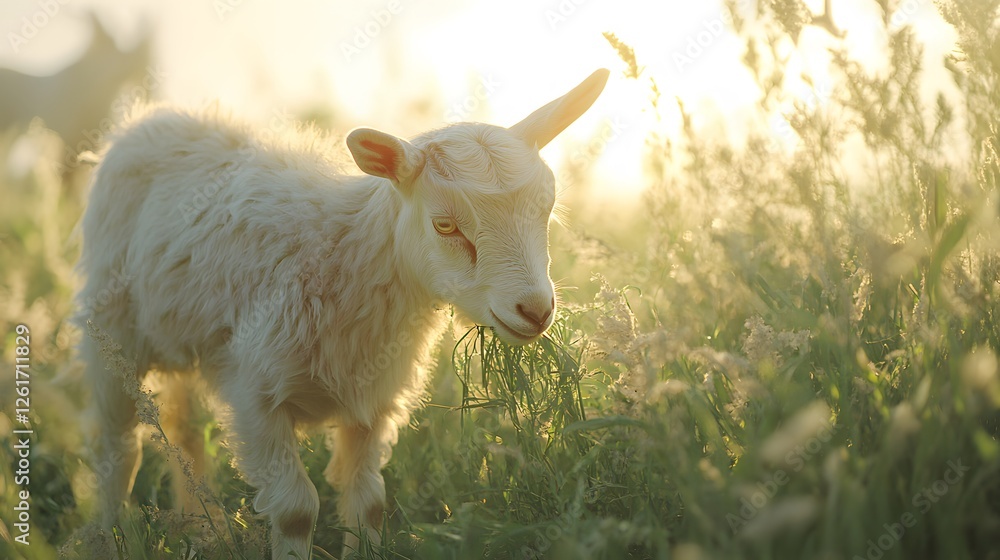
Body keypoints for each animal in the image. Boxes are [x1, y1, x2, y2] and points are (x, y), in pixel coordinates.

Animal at [75, 68, 609, 558]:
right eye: (445, 225)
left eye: (548, 208)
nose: (535, 310)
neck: (345, 252)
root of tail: (151, 117)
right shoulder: (257, 396)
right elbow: (296, 509)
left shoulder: (373, 400)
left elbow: (367, 502)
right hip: (112, 328)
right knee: (118, 448)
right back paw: (112, 536)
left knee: (184, 435)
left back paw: (204, 530)